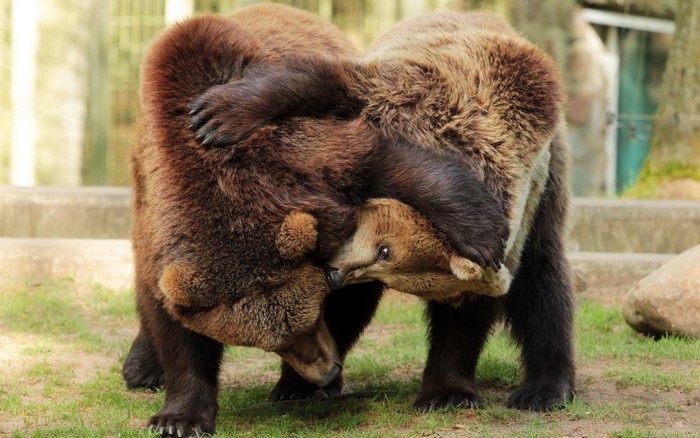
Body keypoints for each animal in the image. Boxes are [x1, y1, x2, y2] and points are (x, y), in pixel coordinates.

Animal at [123, 4, 509, 436]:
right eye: (271, 343)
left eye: (312, 317)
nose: (326, 370)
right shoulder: (158, 226)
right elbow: (172, 325)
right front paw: (178, 417)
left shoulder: (303, 159)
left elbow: (385, 164)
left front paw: (482, 231)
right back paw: (141, 367)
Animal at [193, 10, 575, 413]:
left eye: (387, 257)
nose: (334, 274)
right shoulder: (400, 91)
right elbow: (318, 82)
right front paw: (217, 114)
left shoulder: (519, 208)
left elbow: (468, 313)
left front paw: (444, 392)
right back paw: (294, 386)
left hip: (549, 193)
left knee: (544, 285)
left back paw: (544, 389)